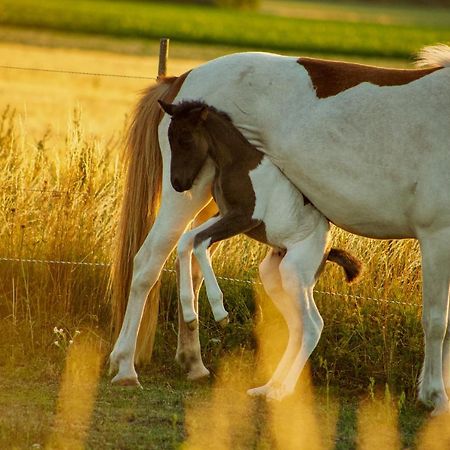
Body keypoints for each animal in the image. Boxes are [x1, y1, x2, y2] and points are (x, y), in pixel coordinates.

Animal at [158, 99, 362, 400]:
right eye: (170, 138)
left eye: (185, 139)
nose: (178, 184)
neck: (236, 162)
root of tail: (326, 251)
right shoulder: (224, 214)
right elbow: (187, 241)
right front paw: (189, 312)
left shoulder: (243, 218)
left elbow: (200, 244)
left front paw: (220, 312)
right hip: (273, 275)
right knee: (298, 326)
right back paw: (267, 387)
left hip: (294, 273)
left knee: (313, 326)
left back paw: (282, 391)